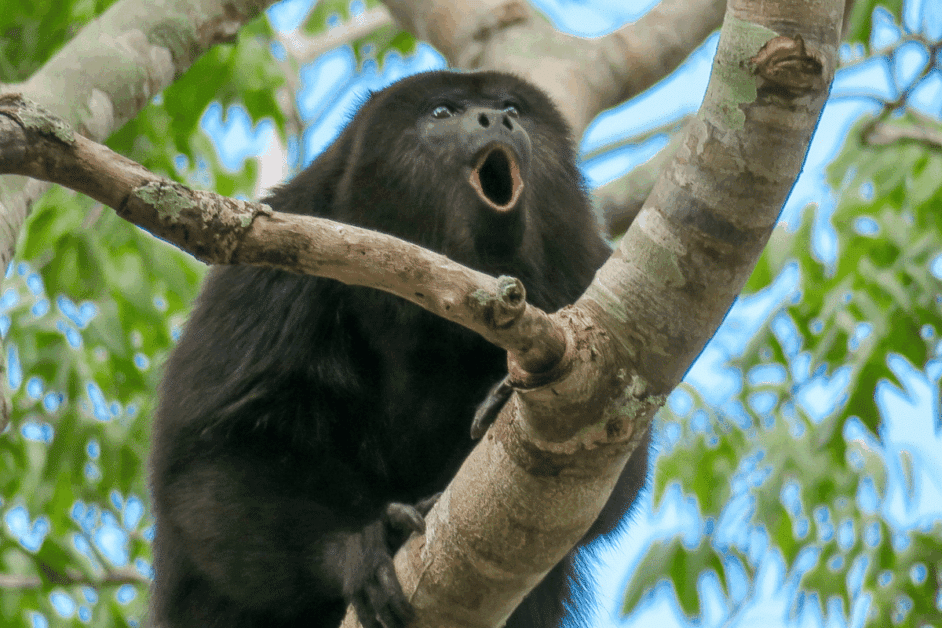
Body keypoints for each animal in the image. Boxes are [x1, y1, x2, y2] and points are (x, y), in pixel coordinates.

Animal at [148, 70, 650, 628]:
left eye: (513, 107)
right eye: (442, 112)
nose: (497, 120)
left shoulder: (581, 268)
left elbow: (612, 478)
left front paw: (502, 404)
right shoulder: (271, 267)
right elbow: (207, 459)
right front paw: (356, 550)